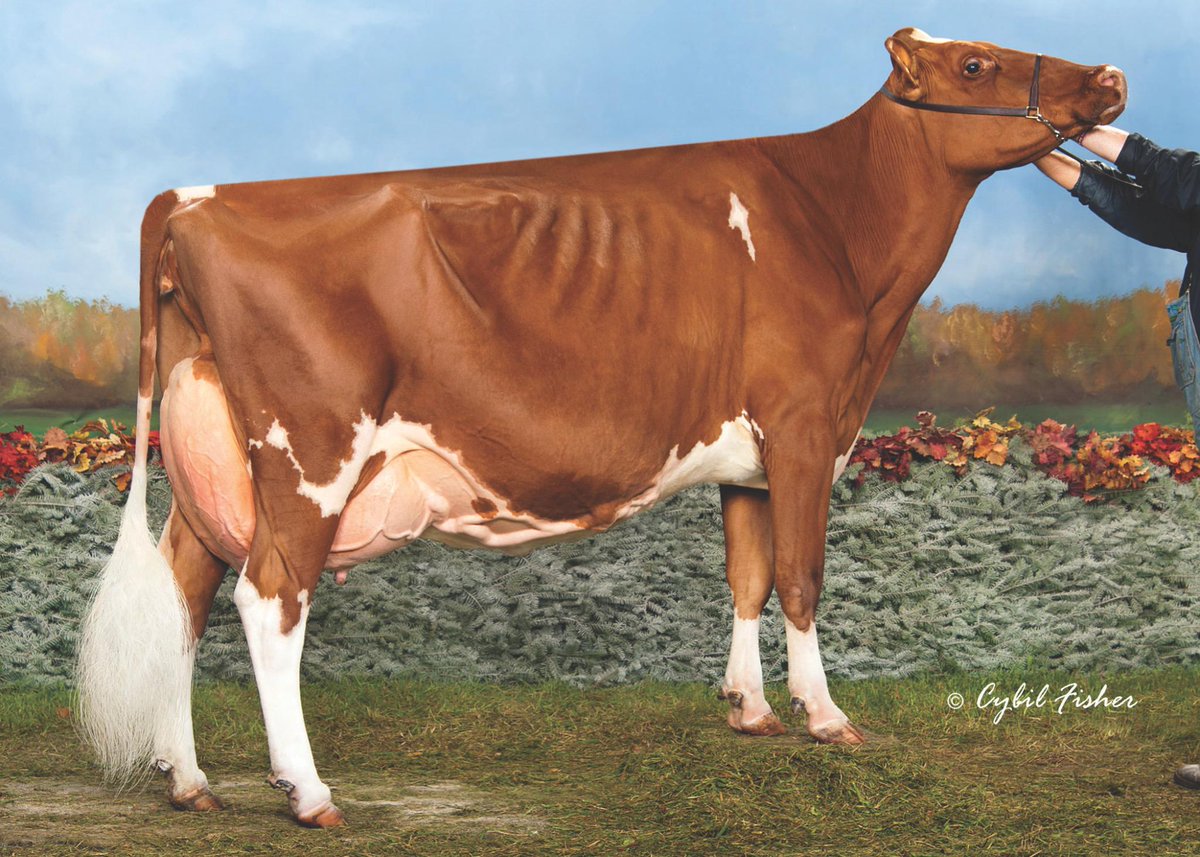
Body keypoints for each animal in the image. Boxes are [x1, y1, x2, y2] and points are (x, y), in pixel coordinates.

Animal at [75, 28, 1126, 827]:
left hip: (214, 457)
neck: (833, 224)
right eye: (978, 64)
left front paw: (749, 709)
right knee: (269, 599)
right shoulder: (802, 423)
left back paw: (189, 779)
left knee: (186, 589)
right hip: (309, 452)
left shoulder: (748, 453)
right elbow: (800, 575)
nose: (1111, 76)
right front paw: (826, 717)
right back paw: (308, 790)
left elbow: (747, 574)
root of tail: (197, 196)